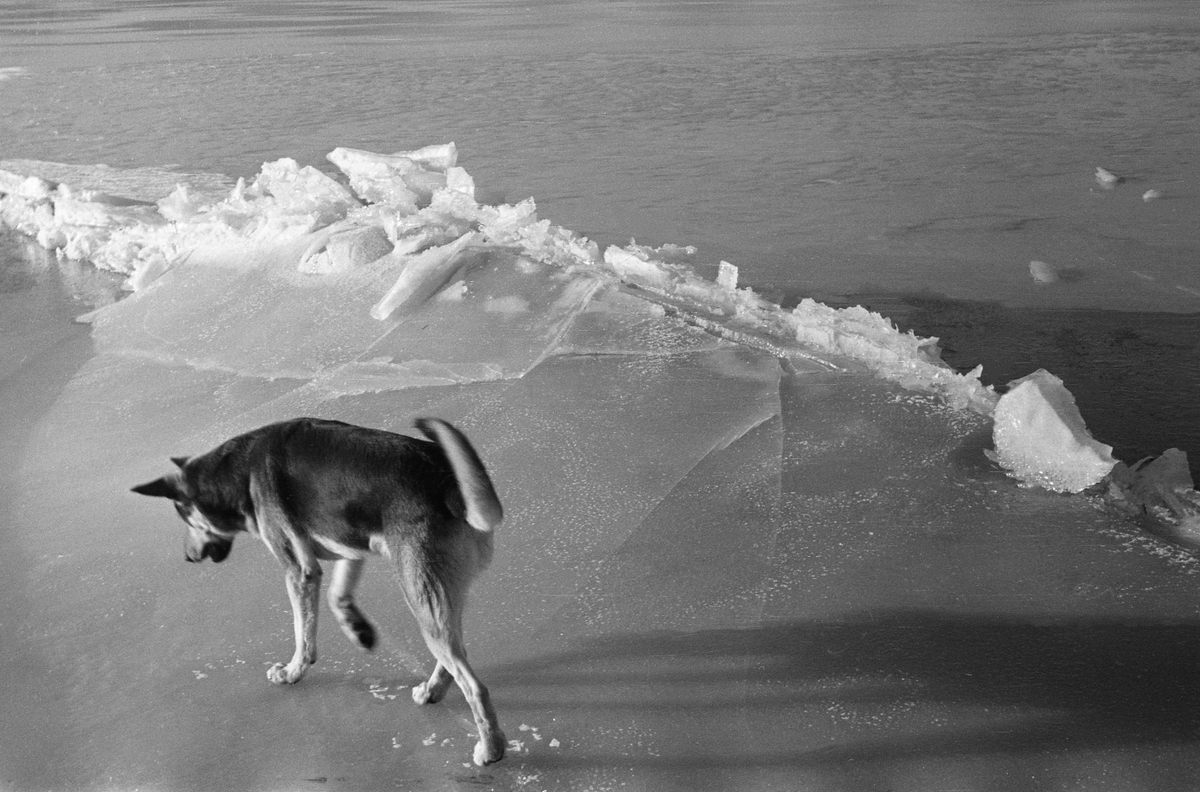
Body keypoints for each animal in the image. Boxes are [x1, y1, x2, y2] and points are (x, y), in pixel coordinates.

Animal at [131, 417, 506, 763]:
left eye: (186, 520)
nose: (187, 557)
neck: (238, 471)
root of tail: (448, 482)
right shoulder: (348, 546)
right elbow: (336, 595)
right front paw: (359, 630)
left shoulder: (299, 570)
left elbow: (303, 631)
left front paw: (293, 671)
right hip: (438, 598)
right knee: (456, 653)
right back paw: (433, 690)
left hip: (422, 595)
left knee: (474, 686)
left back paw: (491, 748)